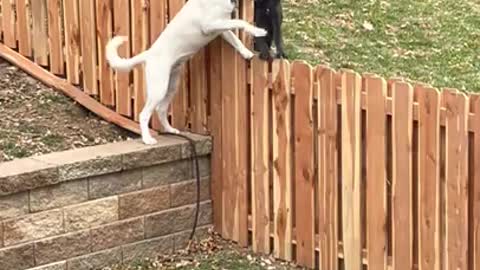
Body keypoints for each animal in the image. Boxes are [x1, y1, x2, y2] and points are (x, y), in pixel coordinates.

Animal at [105, 0, 268, 146]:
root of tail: (148, 54)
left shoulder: (221, 27)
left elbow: (236, 39)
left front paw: (246, 53)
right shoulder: (210, 25)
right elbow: (240, 22)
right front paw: (258, 31)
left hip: (171, 86)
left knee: (161, 109)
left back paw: (170, 129)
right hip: (158, 89)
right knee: (144, 115)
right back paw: (147, 139)